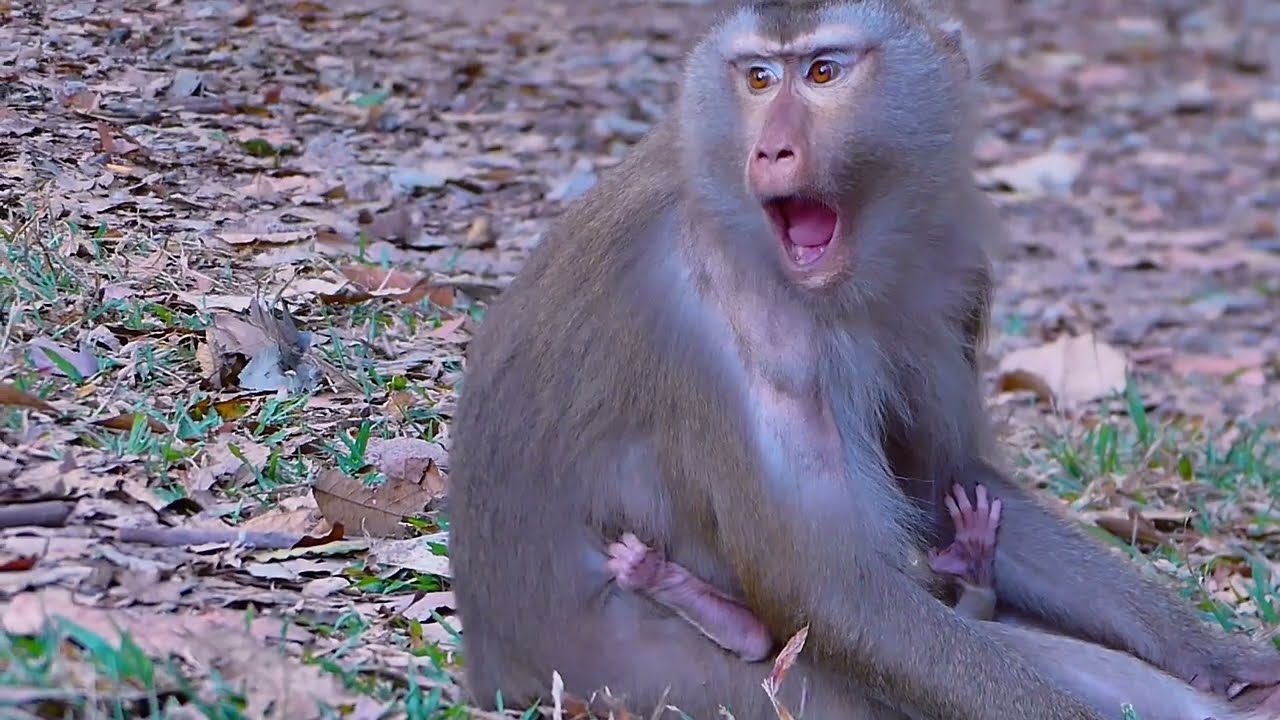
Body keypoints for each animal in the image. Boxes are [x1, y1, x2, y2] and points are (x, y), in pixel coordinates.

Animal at [446, 1, 1280, 719]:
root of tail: (494, 671)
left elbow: (941, 479)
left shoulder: (955, 270)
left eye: (822, 72)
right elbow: (825, 584)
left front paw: (1221, 660)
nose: (772, 148)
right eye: (759, 78)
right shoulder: (733, 315)